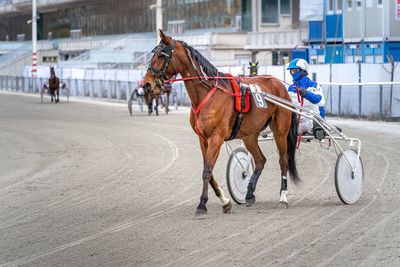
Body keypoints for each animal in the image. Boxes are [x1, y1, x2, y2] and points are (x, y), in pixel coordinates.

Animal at [144, 30, 300, 217]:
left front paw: (202, 205)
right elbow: (208, 171)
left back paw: (283, 197)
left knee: (283, 161)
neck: (207, 93)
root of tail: (280, 85)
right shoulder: (203, 139)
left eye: (162, 55)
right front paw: (225, 202)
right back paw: (249, 194)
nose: (147, 84)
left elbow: (206, 171)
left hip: (280, 131)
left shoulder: (216, 138)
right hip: (250, 135)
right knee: (260, 160)